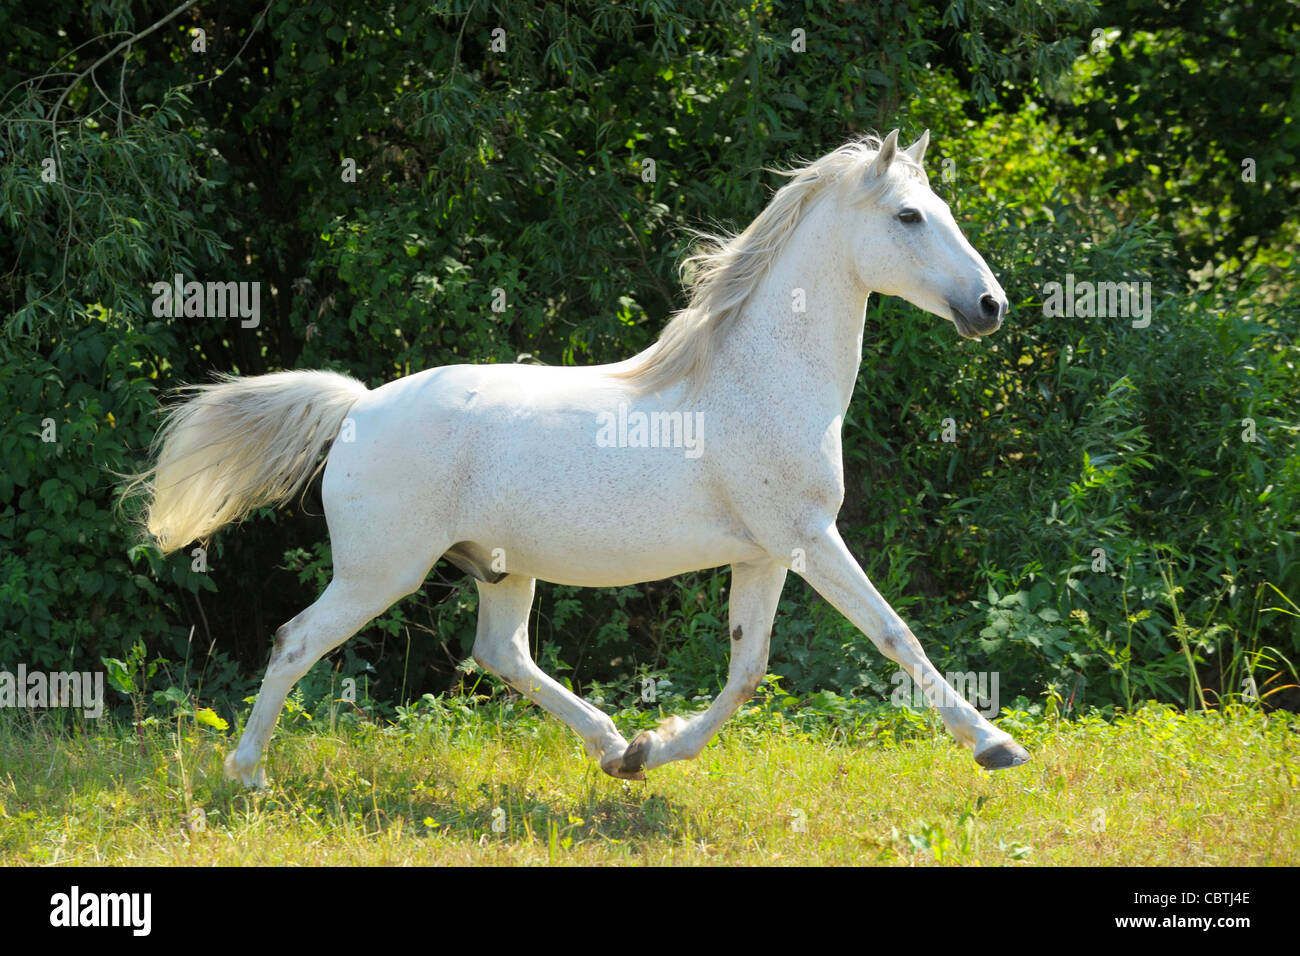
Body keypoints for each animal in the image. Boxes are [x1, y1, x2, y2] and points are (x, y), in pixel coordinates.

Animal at [125, 128, 1028, 787]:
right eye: (909, 216)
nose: (990, 306)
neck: (758, 378)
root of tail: (359, 407)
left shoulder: (769, 553)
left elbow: (747, 668)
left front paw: (655, 751)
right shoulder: (810, 539)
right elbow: (894, 634)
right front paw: (996, 745)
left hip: (500, 567)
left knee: (501, 654)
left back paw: (612, 745)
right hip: (380, 573)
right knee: (295, 642)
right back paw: (247, 775)